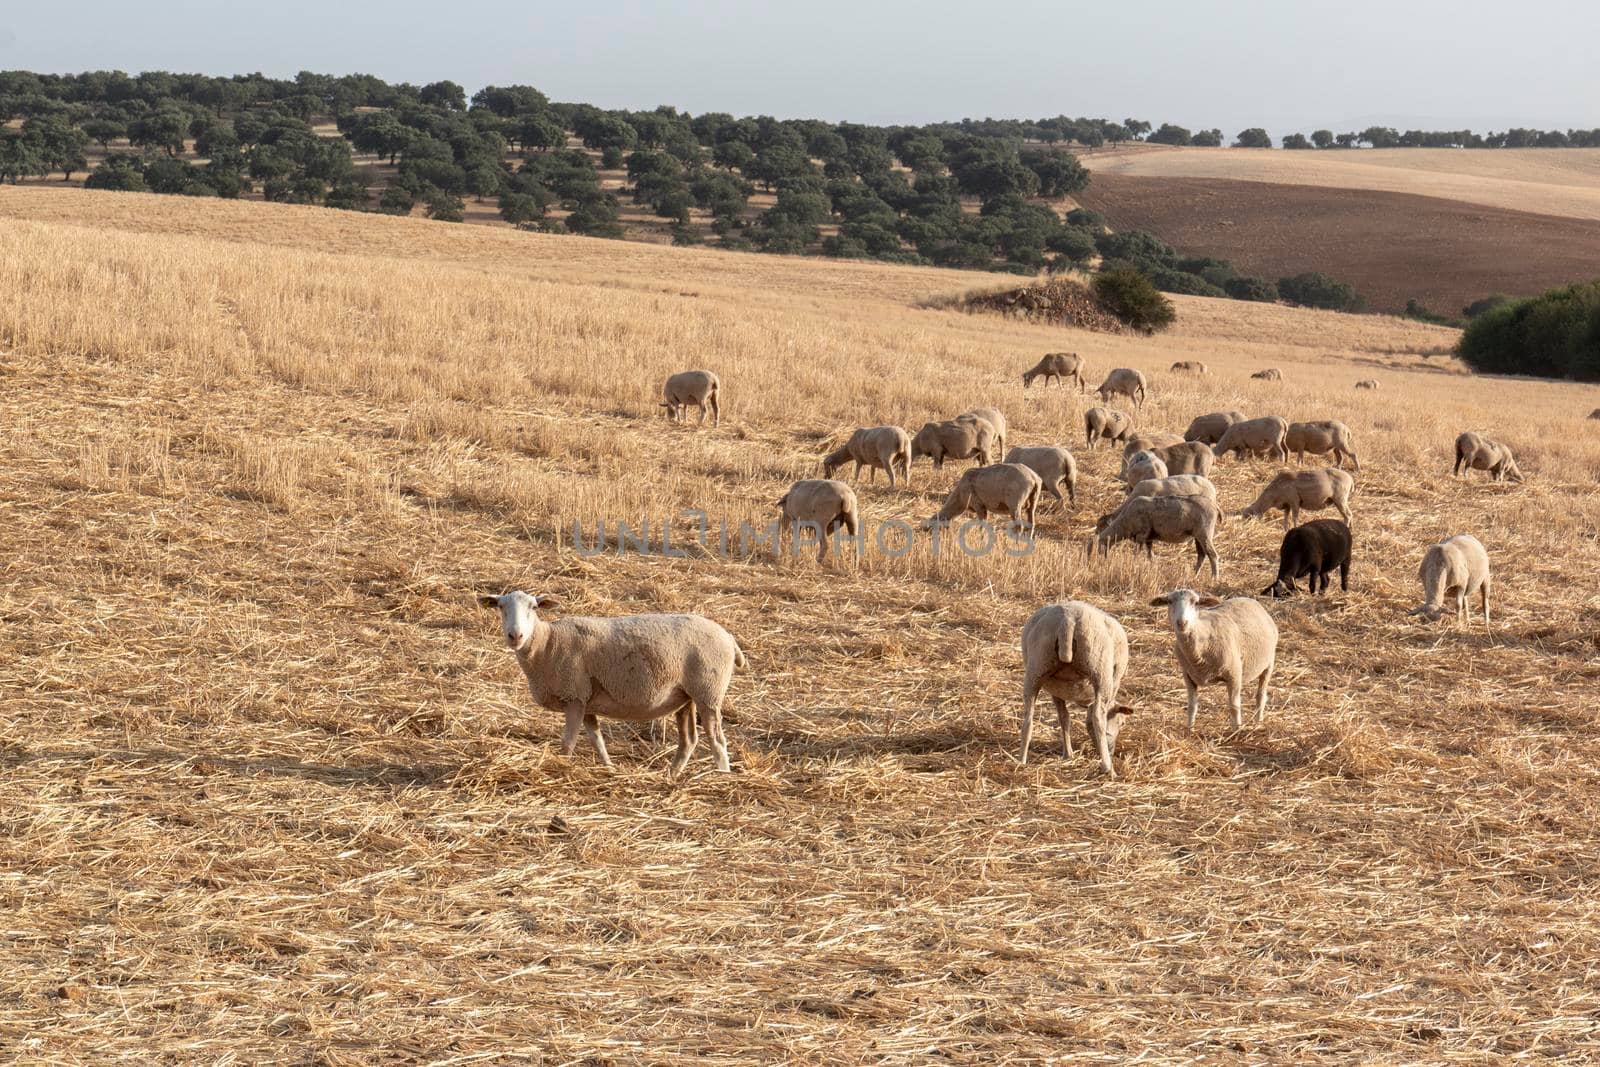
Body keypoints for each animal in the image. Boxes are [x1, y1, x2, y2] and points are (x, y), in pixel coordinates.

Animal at [476, 591, 745, 777]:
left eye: (533, 607)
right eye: (501, 606)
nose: (515, 635)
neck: (548, 642)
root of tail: (729, 638)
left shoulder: (574, 696)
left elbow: (568, 743)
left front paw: (563, 765)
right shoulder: (586, 701)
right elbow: (597, 740)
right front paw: (609, 767)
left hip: (709, 691)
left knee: (717, 740)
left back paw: (723, 775)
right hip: (686, 697)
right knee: (689, 740)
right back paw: (672, 775)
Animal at [1017, 601, 1132, 777]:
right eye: (1122, 722)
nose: (1112, 751)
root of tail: (1067, 620)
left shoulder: (1056, 691)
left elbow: (1064, 718)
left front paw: (1068, 754)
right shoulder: (1113, 683)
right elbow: (1093, 720)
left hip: (1035, 669)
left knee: (1028, 719)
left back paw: (1021, 761)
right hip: (1100, 671)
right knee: (1098, 718)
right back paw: (1108, 768)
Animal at [1145, 591, 1280, 735]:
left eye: (1195, 603)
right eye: (1169, 601)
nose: (1182, 623)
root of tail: (1249, 599)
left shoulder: (1234, 674)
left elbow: (1234, 707)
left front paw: (1236, 731)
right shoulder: (1188, 676)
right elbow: (1192, 706)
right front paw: (1190, 730)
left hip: (1269, 663)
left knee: (1260, 695)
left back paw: (1258, 723)